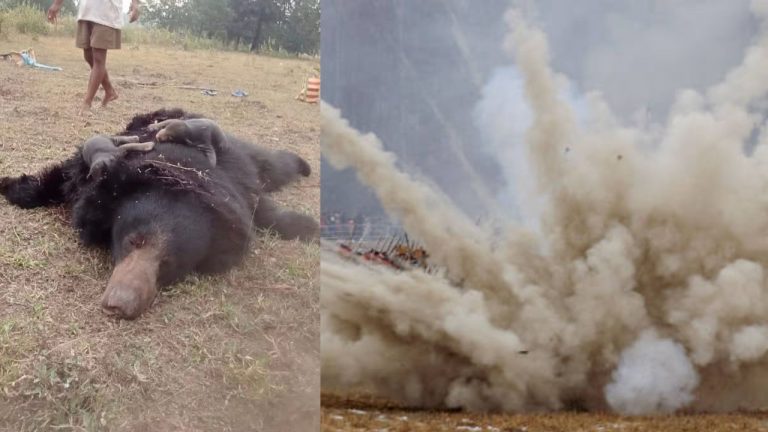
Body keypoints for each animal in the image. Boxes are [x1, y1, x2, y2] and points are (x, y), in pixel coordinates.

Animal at [0, 108, 318, 320]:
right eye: (131, 241)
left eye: (169, 263)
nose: (121, 304)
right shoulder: (92, 180)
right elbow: (61, 177)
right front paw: (14, 187)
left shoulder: (234, 191)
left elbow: (264, 209)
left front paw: (308, 225)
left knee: (272, 165)